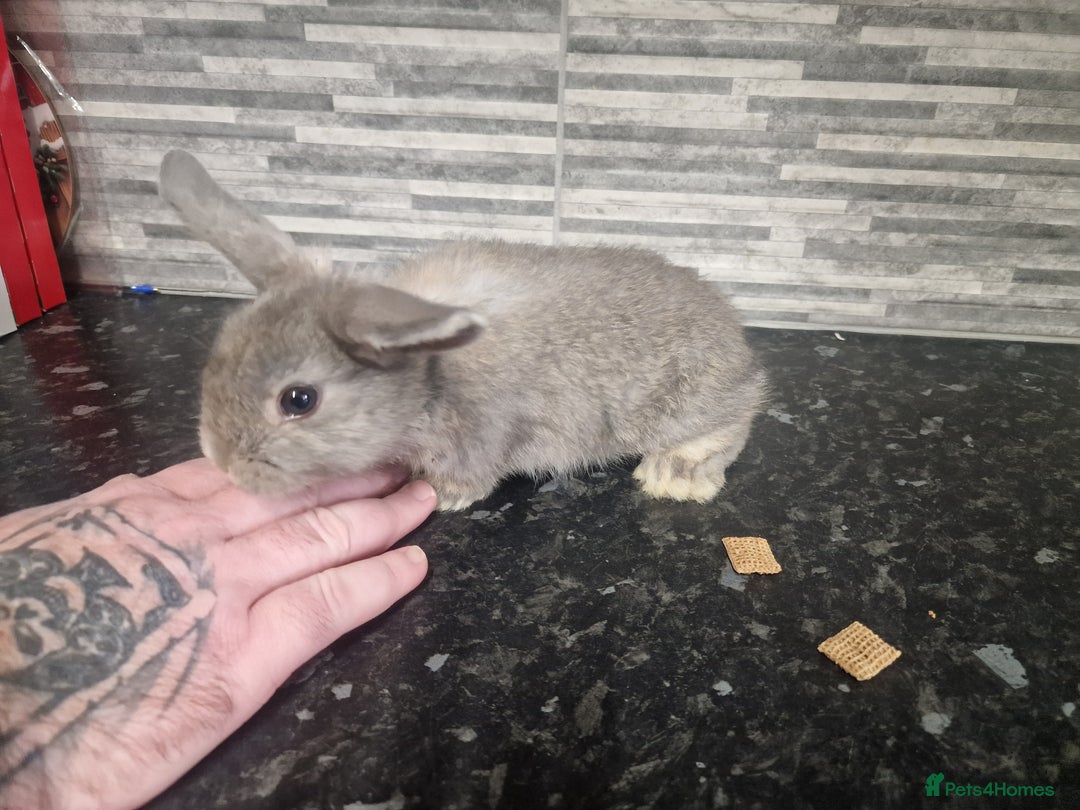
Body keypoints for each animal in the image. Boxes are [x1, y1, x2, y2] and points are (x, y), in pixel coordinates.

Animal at [158, 149, 768, 510]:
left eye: (298, 400)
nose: (226, 466)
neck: (428, 371)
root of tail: (734, 336)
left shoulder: (482, 433)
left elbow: (473, 475)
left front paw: (438, 495)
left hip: (685, 402)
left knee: (736, 415)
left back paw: (675, 474)